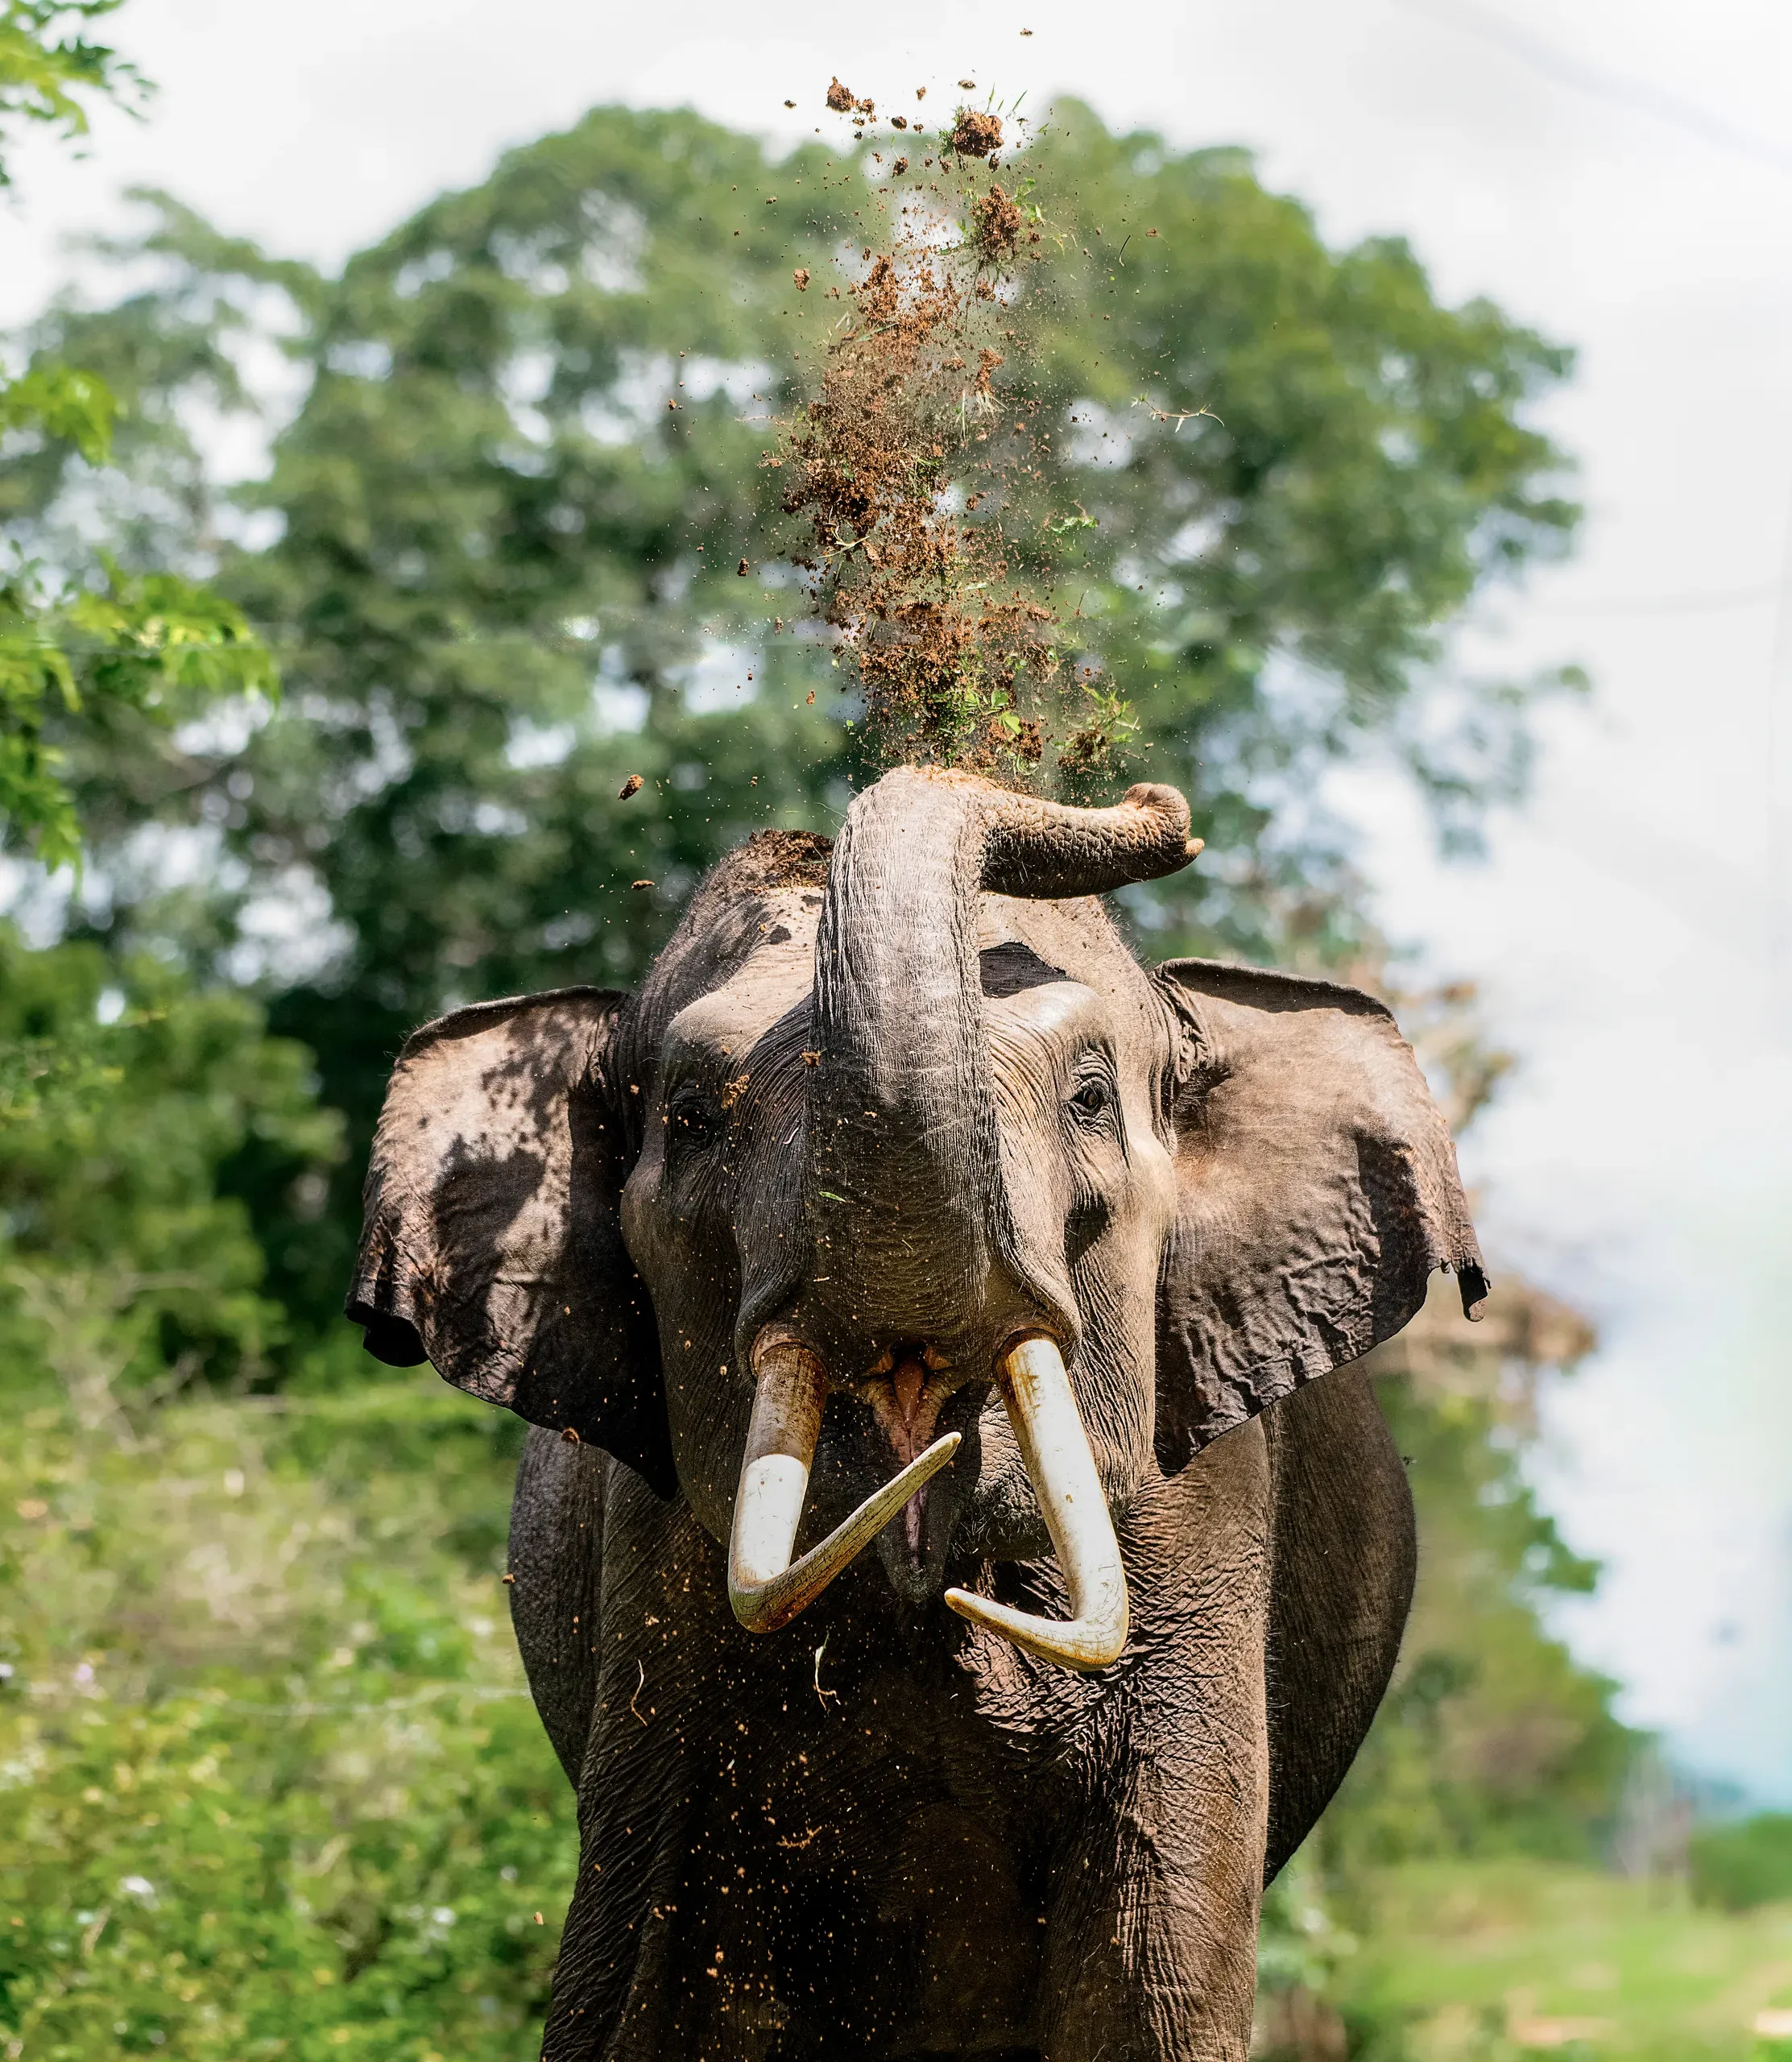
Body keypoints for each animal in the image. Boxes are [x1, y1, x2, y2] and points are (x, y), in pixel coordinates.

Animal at [348, 766, 1486, 2062]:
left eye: (1090, 1098)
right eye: (690, 1115)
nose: (1160, 805)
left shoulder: (1208, 1513)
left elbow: (1147, 1980)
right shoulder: (652, 1570)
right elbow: (642, 1975)